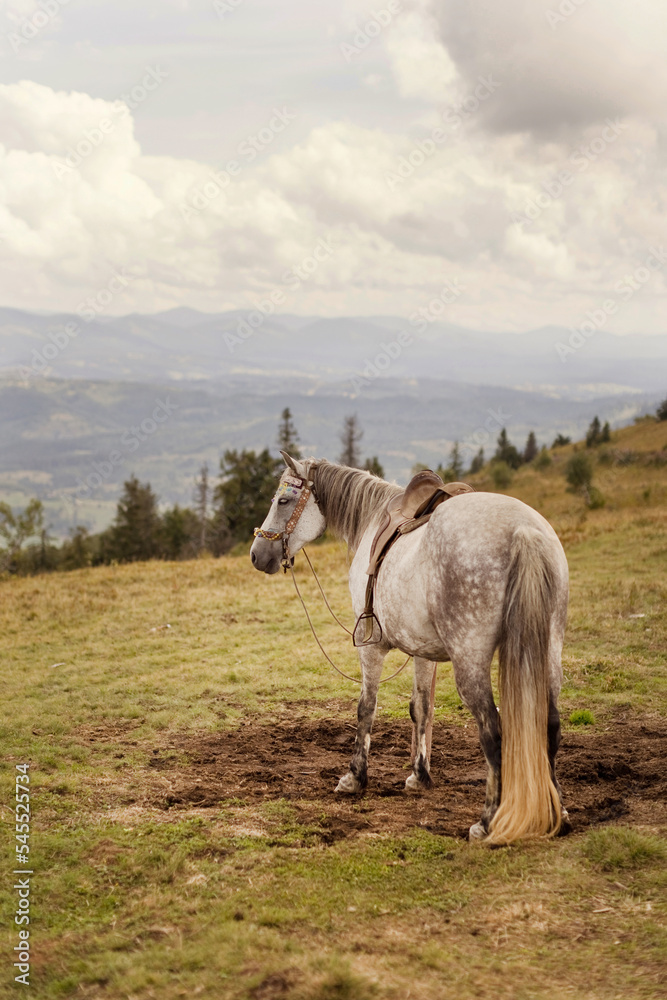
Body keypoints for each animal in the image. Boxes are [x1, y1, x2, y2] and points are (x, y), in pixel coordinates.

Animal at [250, 453, 570, 845]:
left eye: (283, 500)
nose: (257, 554)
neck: (373, 519)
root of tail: (522, 531)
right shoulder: (423, 651)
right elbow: (421, 709)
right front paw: (419, 775)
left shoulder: (371, 643)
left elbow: (366, 708)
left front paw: (355, 777)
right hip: (550, 650)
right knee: (550, 725)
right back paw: (557, 815)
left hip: (471, 659)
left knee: (492, 730)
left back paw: (487, 821)